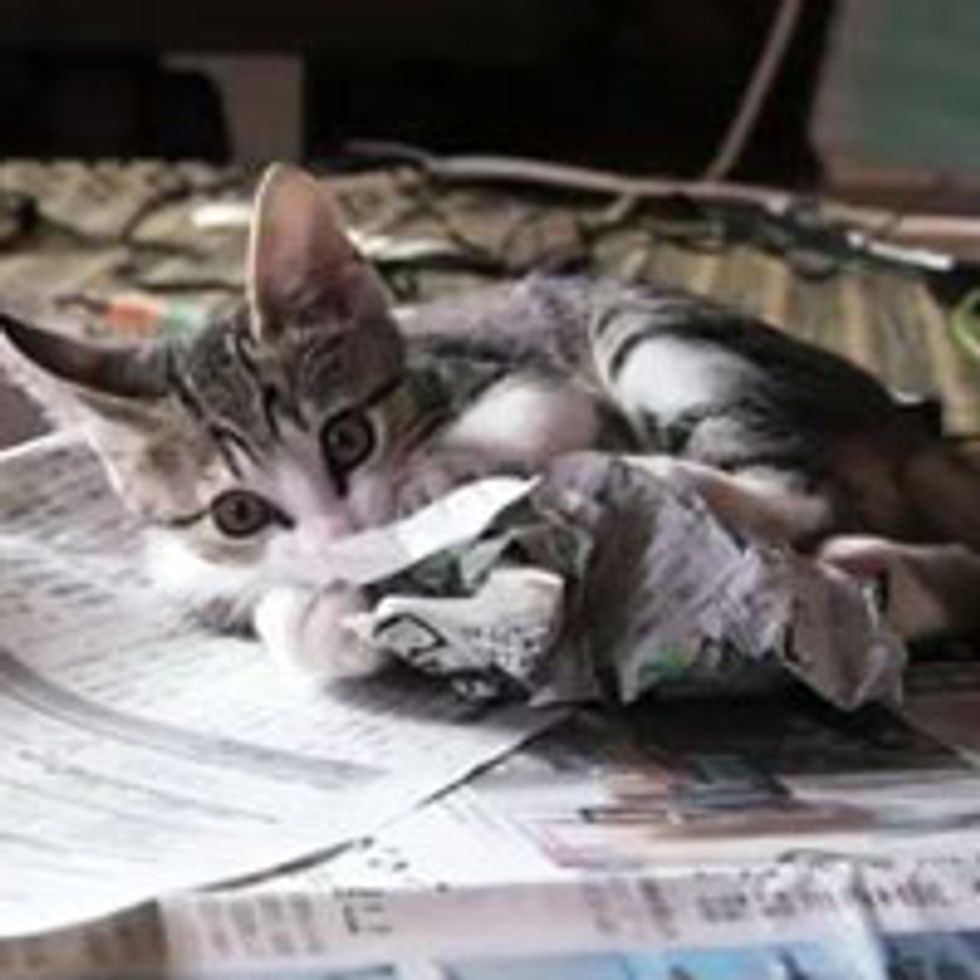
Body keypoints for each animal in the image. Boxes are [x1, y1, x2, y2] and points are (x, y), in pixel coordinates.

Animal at [1, 163, 980, 680]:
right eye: (236, 512)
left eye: (347, 437)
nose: (343, 536)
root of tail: (891, 410)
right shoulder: (193, 569)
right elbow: (275, 613)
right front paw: (323, 613)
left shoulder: (516, 367)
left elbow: (529, 420)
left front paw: (436, 486)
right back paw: (882, 575)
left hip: (645, 326)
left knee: (795, 488)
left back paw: (651, 478)